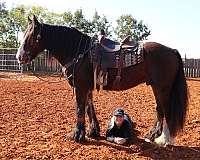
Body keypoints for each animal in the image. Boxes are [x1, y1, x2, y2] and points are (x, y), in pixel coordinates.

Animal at [16, 15, 188, 146]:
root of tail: (172, 50)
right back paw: (152, 135)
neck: (80, 51)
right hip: (157, 87)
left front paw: (77, 135)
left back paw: (163, 139)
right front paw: (93, 131)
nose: (19, 56)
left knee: (164, 110)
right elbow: (89, 107)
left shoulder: (80, 87)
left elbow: (80, 109)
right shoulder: (87, 86)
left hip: (162, 88)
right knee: (160, 110)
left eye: (31, 35)